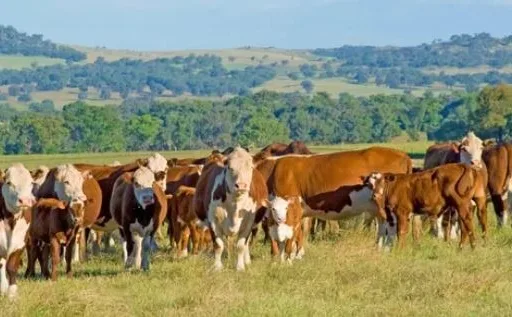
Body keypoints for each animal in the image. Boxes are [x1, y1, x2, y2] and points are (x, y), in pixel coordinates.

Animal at [0, 163, 36, 298]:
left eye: (31, 183)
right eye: (9, 182)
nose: (24, 200)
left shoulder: (20, 242)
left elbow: (11, 266)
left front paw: (12, 293)